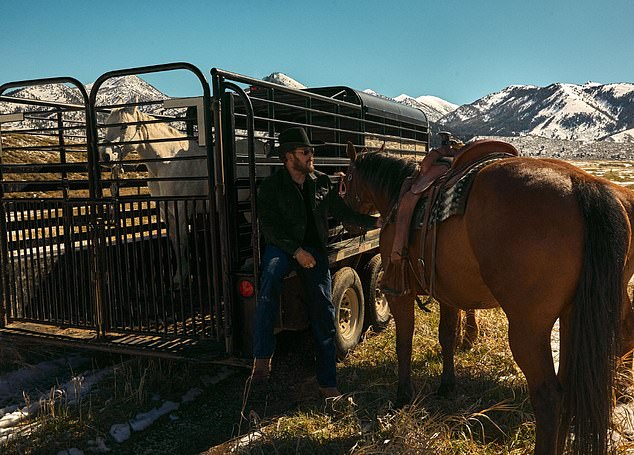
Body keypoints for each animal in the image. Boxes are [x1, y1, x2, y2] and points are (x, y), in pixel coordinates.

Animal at [100, 105, 266, 286]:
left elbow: (182, 240)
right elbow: (175, 241)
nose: (105, 155)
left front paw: (183, 276)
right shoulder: (165, 211)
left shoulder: (180, 208)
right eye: (106, 125)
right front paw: (179, 276)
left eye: (124, 126)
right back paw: (251, 261)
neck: (167, 161)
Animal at [340, 143, 632, 455]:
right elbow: (446, 337)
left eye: (345, 180)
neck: (399, 195)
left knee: (549, 396)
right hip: (573, 317)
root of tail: (582, 184)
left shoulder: (399, 294)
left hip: (529, 328)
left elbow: (403, 342)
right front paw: (447, 385)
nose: (346, 223)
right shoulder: (448, 294)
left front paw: (403, 396)